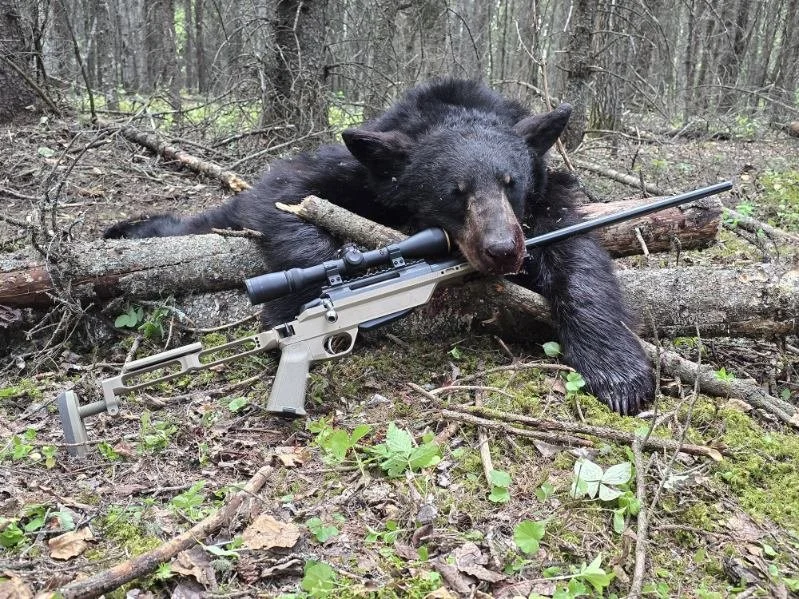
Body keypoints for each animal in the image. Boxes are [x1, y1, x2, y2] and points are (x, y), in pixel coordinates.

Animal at [105, 78, 654, 415]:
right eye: (454, 192)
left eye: (510, 182)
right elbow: (284, 197)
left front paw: (619, 372)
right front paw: (304, 305)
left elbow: (577, 251)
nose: (502, 250)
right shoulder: (348, 172)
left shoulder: (547, 196)